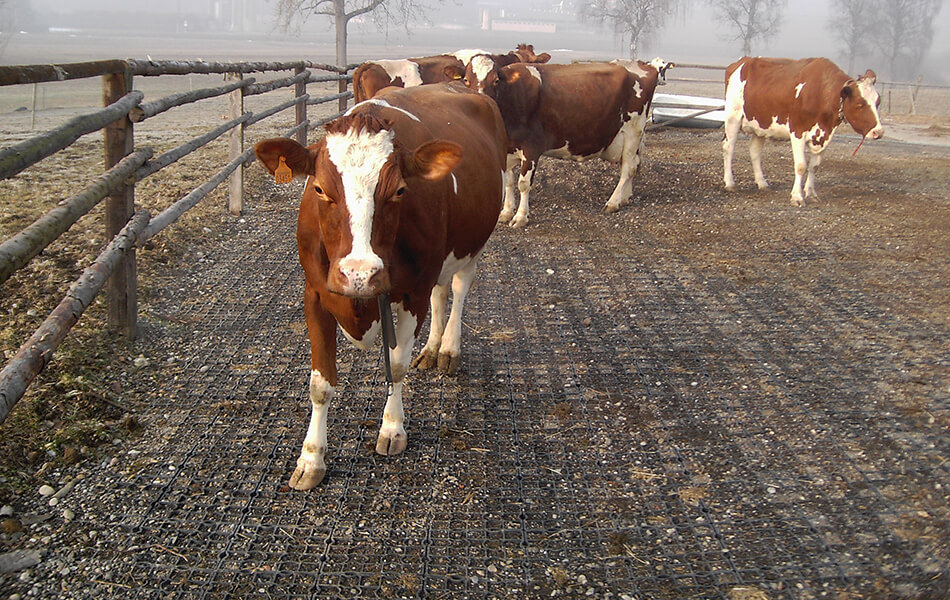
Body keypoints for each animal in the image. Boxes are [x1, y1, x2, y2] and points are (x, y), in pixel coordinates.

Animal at [251, 82, 506, 490]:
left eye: (400, 190)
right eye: (319, 188)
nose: (359, 274)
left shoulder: (412, 292)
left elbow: (397, 366)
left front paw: (392, 429)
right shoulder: (315, 294)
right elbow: (320, 384)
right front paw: (311, 459)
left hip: (475, 242)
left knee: (459, 288)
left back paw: (448, 349)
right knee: (440, 293)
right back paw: (431, 349)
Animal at [464, 57, 672, 229]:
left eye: (495, 80)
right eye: (466, 80)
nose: (481, 103)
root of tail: (643, 64)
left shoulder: (532, 147)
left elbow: (523, 183)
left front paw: (521, 217)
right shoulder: (507, 148)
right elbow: (508, 182)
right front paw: (506, 212)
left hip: (632, 130)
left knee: (628, 168)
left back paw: (613, 203)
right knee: (633, 166)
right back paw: (625, 198)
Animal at [724, 56, 888, 206]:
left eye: (878, 102)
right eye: (860, 104)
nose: (878, 132)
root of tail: (743, 61)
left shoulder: (824, 136)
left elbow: (814, 166)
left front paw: (811, 193)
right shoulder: (797, 131)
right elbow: (801, 165)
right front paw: (797, 197)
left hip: (762, 124)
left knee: (754, 151)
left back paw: (762, 183)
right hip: (733, 117)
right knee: (728, 147)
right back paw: (730, 183)